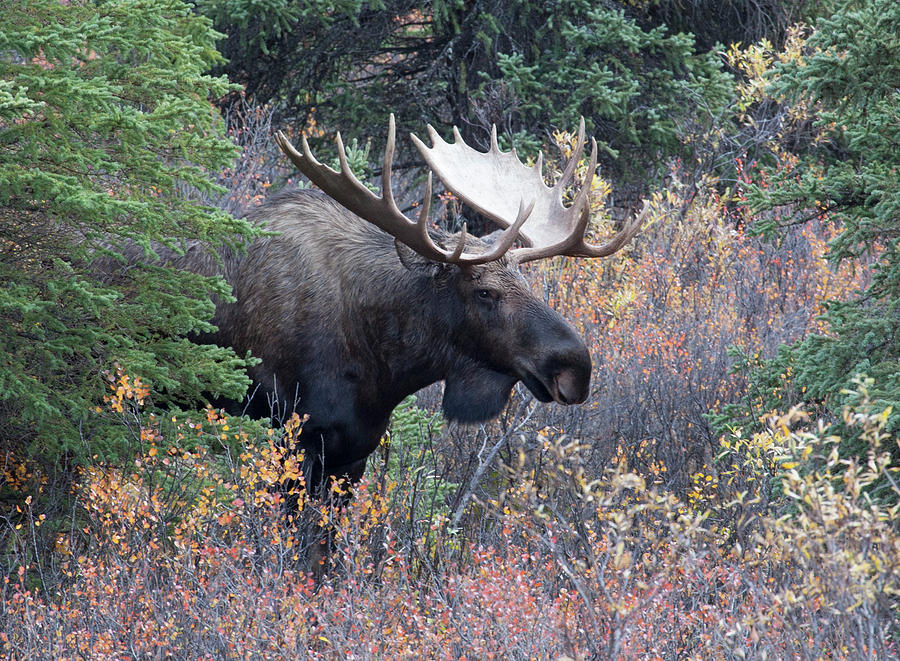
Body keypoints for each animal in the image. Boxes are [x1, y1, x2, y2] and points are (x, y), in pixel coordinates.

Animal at [203, 116, 644, 492]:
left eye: (526, 282)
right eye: (485, 292)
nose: (577, 368)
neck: (385, 367)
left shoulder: (353, 452)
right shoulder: (289, 437)